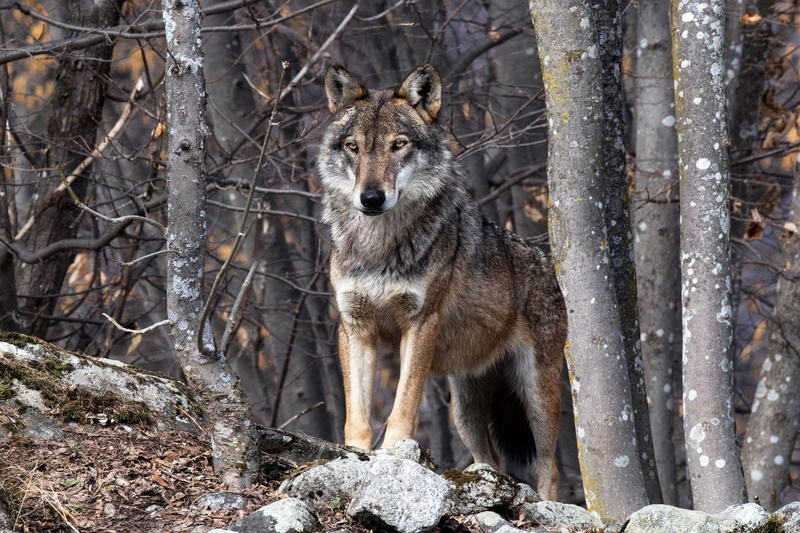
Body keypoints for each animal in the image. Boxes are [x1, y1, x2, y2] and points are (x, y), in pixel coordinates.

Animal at [317, 64, 567, 500]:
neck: (379, 245)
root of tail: (546, 262)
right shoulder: (353, 326)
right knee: (491, 461)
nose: (371, 198)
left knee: (548, 467)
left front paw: (394, 455)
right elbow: (356, 412)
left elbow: (403, 405)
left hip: (537, 395)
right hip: (463, 411)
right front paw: (355, 454)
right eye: (353, 147)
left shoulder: (420, 323)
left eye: (398, 145)